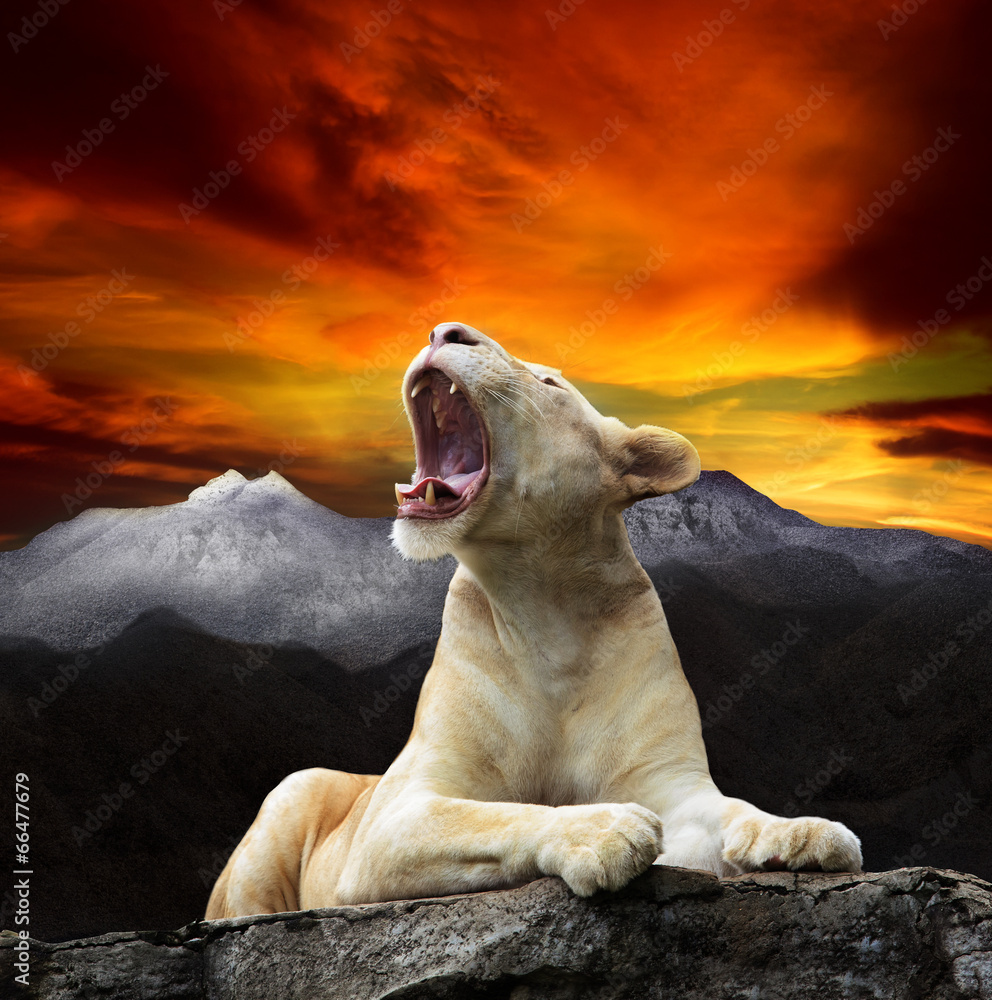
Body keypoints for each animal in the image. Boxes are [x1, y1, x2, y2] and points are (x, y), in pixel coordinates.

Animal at [206, 322, 861, 919]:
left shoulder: (670, 780)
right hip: (295, 790)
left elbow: (732, 809)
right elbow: (498, 815)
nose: (443, 331)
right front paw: (606, 830)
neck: (545, 608)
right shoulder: (392, 817)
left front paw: (804, 832)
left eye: (549, 383)